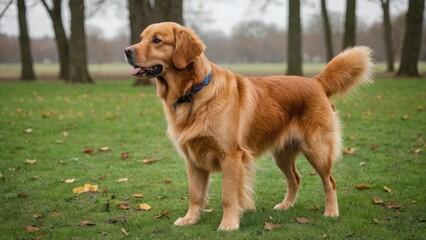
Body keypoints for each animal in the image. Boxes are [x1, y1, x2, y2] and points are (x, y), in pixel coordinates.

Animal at [124, 22, 372, 231]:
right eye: (142, 38)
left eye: (157, 40)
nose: (127, 51)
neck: (194, 92)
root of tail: (315, 81)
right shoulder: (193, 159)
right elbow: (195, 194)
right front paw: (190, 219)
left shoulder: (231, 156)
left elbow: (228, 196)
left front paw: (229, 224)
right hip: (282, 155)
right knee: (295, 178)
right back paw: (286, 205)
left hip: (317, 150)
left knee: (330, 182)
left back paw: (331, 212)